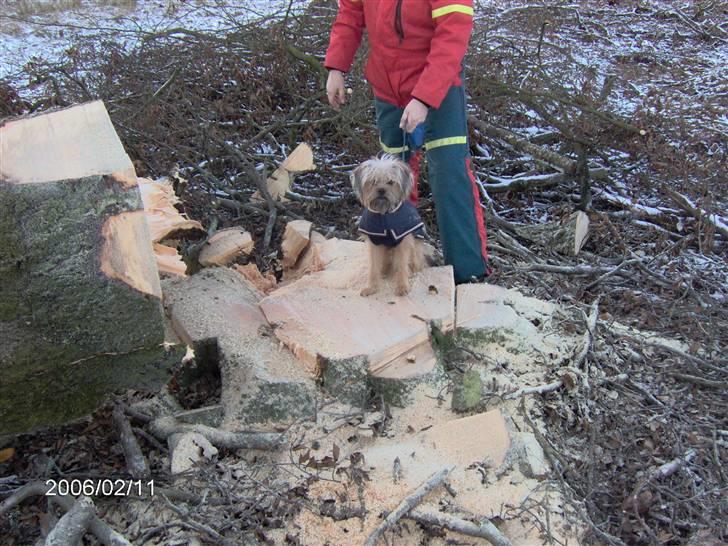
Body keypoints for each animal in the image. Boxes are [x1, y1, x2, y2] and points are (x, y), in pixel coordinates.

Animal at [350, 153, 424, 296]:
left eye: (390, 182)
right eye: (373, 181)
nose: (381, 190)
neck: (384, 214)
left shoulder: (403, 241)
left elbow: (402, 264)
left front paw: (402, 286)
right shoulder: (374, 241)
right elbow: (373, 266)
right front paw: (372, 287)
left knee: (413, 259)